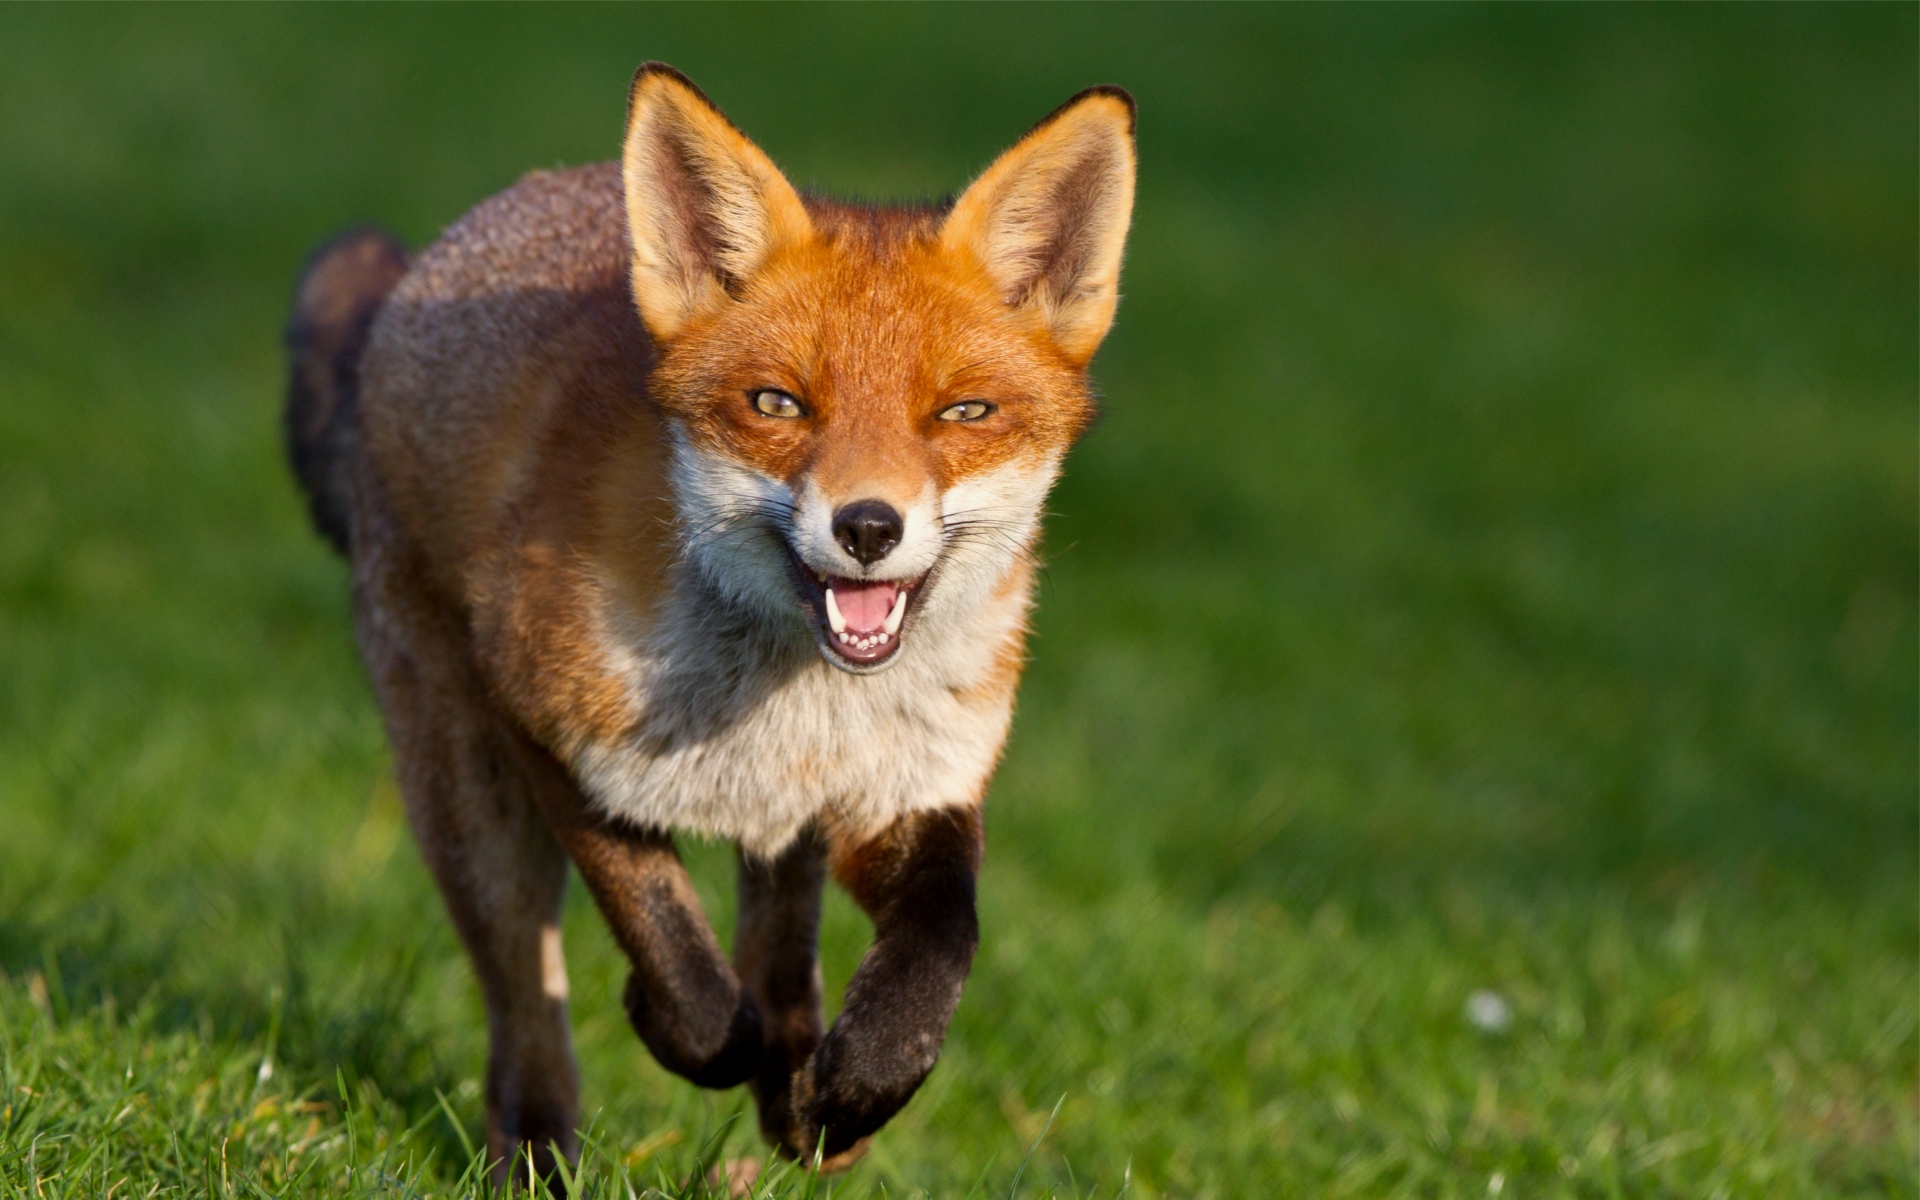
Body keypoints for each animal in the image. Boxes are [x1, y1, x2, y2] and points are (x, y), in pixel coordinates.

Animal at [284, 63, 1135, 1182]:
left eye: (963, 414)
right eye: (776, 403)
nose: (869, 526)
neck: (797, 704)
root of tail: (452, 245)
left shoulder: (913, 788)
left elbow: (940, 944)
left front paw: (858, 1086)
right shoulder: (554, 736)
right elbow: (676, 958)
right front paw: (668, 1021)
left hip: (781, 833)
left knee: (780, 949)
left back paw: (796, 1092)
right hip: (467, 800)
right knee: (523, 998)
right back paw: (540, 1149)